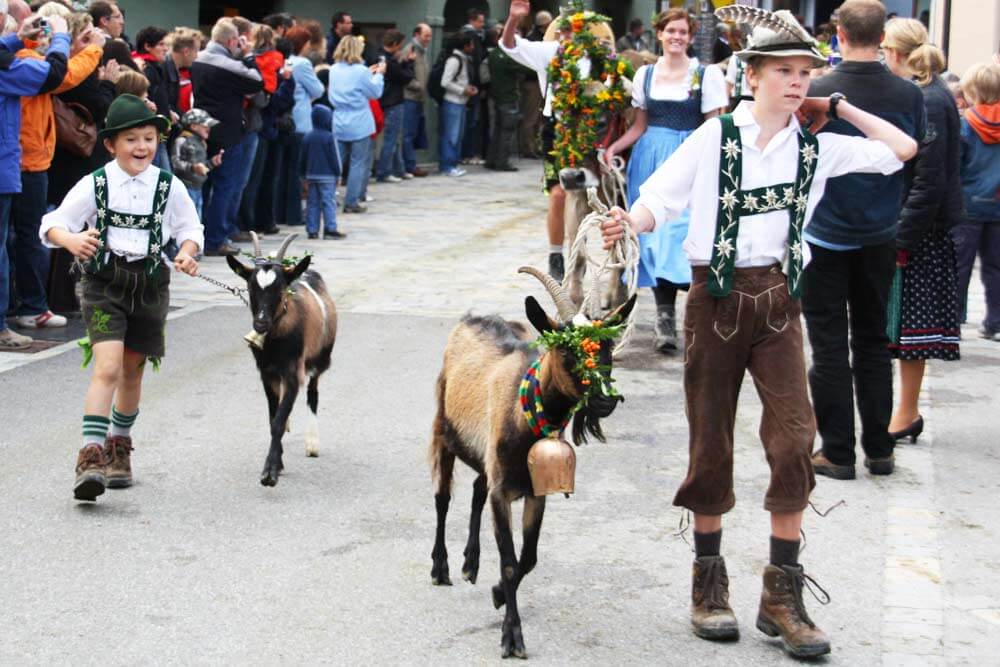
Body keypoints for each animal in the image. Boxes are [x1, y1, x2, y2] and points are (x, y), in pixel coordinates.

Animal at [428, 266, 632, 656]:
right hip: (443, 431)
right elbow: (509, 563)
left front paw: (496, 594)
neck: (525, 414)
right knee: (443, 499)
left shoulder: (535, 491)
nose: (605, 401)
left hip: (486, 457)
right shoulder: (503, 492)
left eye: (609, 346)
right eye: (566, 348)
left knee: (476, 489)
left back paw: (470, 563)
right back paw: (440, 568)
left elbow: (529, 557)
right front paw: (512, 637)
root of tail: (471, 317)